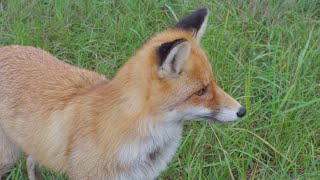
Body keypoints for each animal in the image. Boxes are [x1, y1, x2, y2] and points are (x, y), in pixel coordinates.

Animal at [0, 8, 245, 179]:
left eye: (213, 83)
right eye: (201, 91)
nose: (242, 111)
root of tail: (6, 48)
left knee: (31, 162)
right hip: (7, 157)